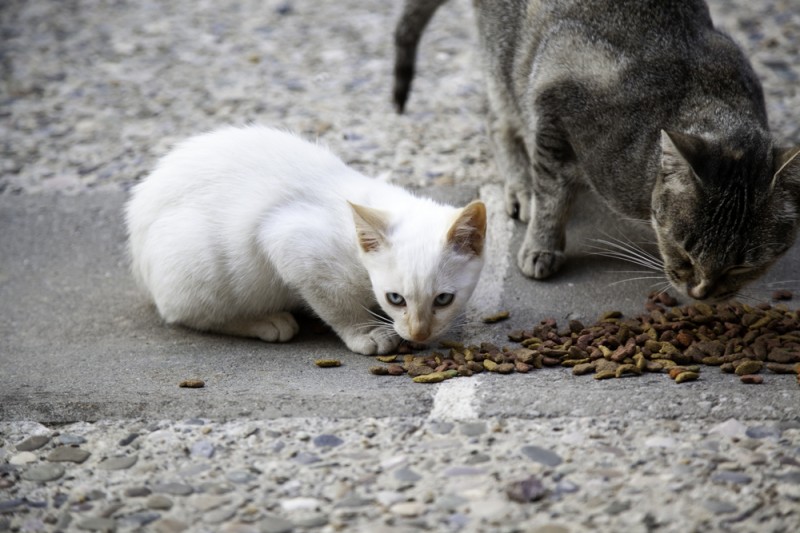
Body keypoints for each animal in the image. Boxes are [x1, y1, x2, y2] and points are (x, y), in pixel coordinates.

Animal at [126, 125, 488, 354]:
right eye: (395, 298)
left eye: (443, 299)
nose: (418, 332)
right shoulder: (291, 243)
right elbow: (336, 304)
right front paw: (366, 332)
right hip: (200, 266)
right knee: (188, 314)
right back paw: (265, 321)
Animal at [392, 0, 800, 300]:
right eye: (683, 248)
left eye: (742, 265)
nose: (701, 293)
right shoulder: (554, 104)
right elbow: (552, 197)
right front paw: (541, 247)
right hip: (506, 61)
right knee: (496, 117)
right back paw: (521, 186)